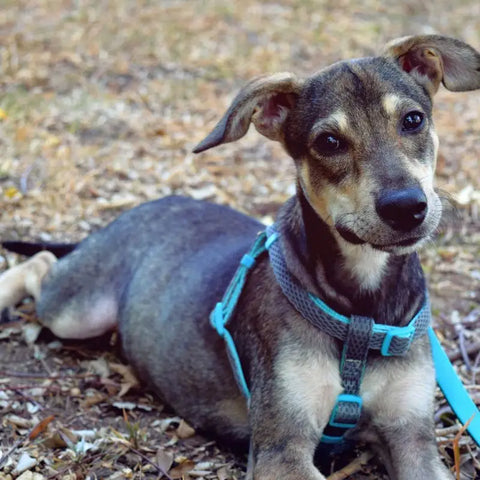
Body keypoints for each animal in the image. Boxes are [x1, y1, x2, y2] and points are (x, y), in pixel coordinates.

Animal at [0, 35, 480, 478]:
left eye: (413, 120)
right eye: (328, 142)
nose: (406, 207)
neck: (364, 307)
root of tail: (136, 210)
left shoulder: (412, 436)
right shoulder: (281, 449)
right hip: (77, 311)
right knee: (42, 264)